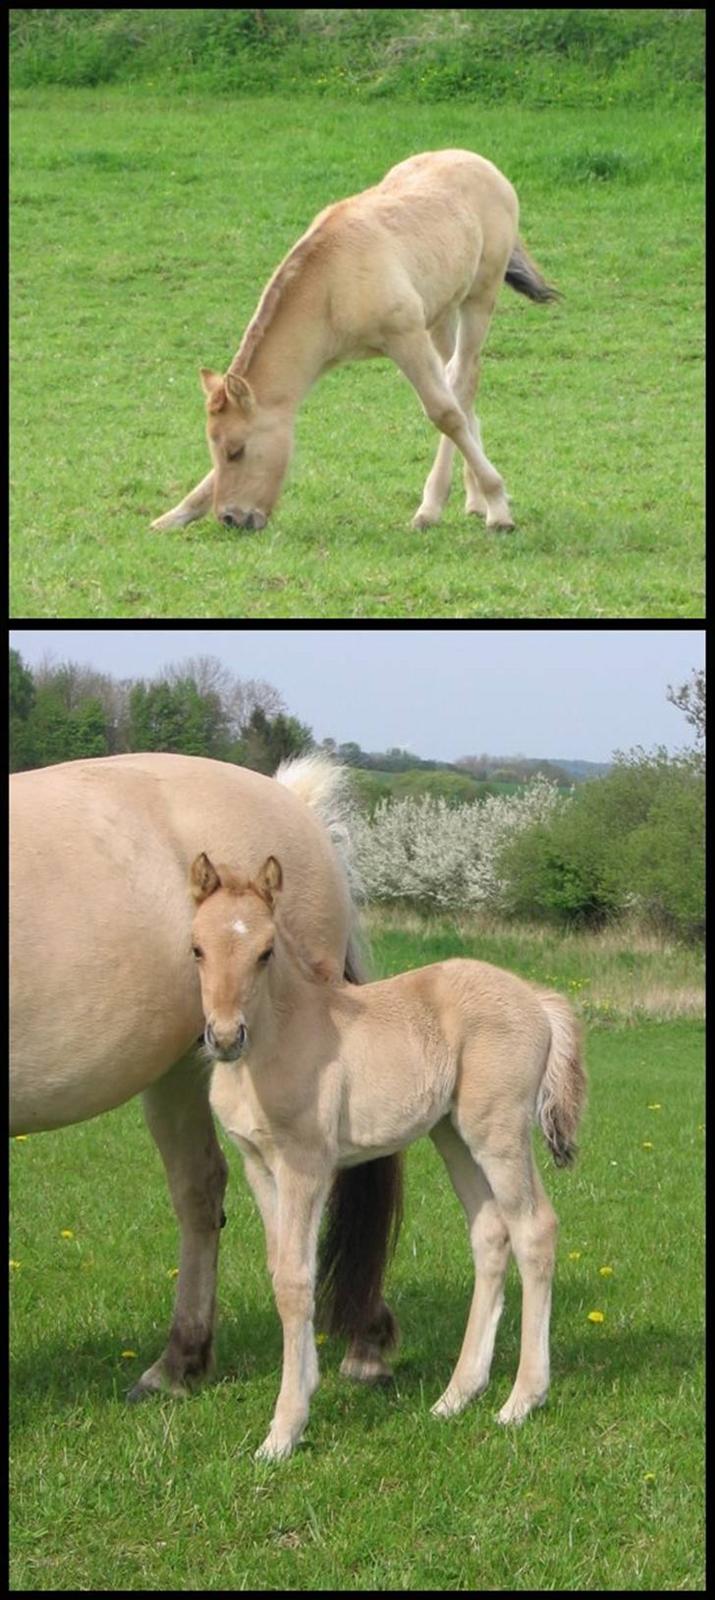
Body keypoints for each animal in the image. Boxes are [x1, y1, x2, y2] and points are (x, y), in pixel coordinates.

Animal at [190, 851, 588, 1465]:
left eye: (265, 951)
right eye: (197, 949)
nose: (227, 1036)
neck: (277, 1042)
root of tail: (535, 999)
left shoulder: (307, 1165)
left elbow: (296, 1282)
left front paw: (283, 1431)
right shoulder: (259, 1165)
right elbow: (281, 1269)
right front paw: (304, 1390)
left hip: (496, 1130)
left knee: (534, 1229)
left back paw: (520, 1400)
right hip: (452, 1134)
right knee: (491, 1235)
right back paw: (456, 1395)